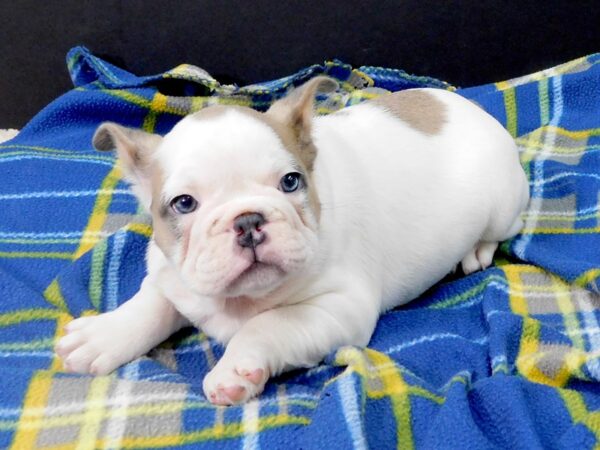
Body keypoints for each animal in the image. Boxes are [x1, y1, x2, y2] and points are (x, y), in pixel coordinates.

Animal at [54, 76, 528, 404]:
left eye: (290, 182)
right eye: (184, 204)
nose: (247, 220)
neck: (238, 300)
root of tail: (472, 108)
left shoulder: (338, 307)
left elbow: (268, 324)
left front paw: (235, 367)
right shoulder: (171, 273)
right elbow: (151, 302)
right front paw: (105, 335)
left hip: (502, 205)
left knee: (498, 231)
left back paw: (475, 250)